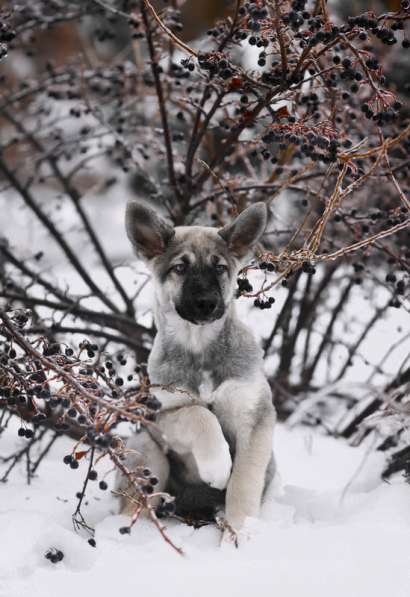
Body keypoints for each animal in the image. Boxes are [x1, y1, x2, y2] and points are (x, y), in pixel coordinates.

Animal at [119, 203, 278, 536]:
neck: (200, 346)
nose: (206, 303)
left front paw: (240, 533)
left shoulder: (254, 416)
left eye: (219, 268)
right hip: (147, 447)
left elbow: (244, 481)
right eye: (180, 268)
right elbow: (199, 414)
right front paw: (217, 466)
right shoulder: (165, 414)